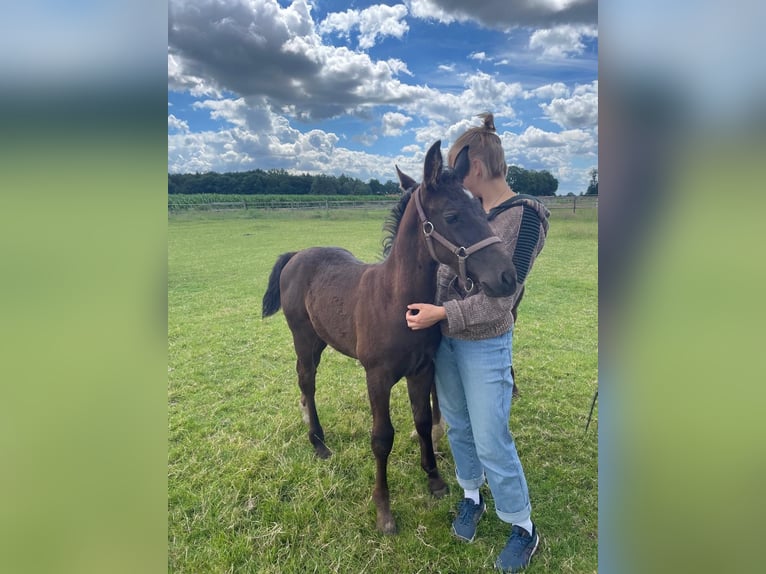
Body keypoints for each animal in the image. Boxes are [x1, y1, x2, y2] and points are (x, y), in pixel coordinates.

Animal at [261, 140, 518, 534]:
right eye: (452, 216)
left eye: (480, 208)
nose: (507, 277)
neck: (397, 301)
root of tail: (298, 254)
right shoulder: (377, 377)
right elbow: (382, 438)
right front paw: (383, 510)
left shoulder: (422, 370)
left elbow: (423, 421)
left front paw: (435, 480)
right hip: (303, 337)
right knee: (307, 381)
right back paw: (318, 442)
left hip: (320, 338)